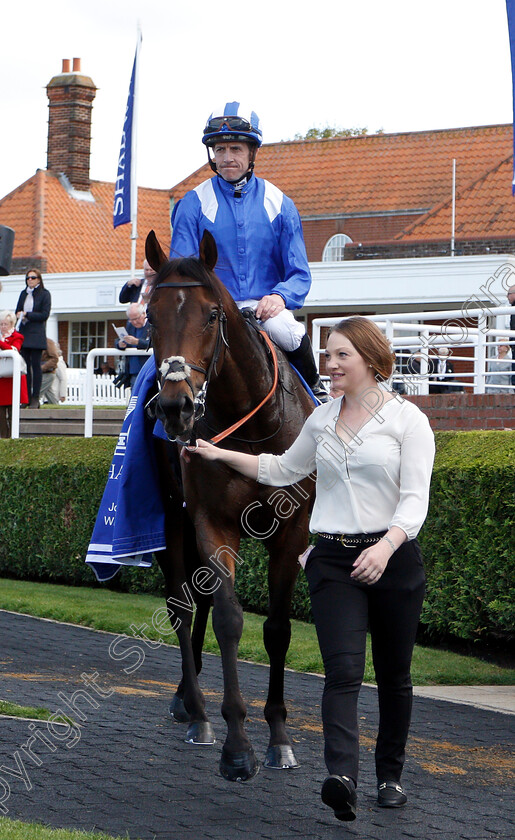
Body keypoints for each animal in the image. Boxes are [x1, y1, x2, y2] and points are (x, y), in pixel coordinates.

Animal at [144, 228, 314, 780]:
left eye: (212, 314)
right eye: (150, 314)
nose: (175, 407)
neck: (255, 430)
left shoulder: (292, 533)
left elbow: (277, 629)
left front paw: (279, 736)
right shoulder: (212, 523)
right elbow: (228, 619)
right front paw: (237, 744)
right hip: (171, 521)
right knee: (181, 606)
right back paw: (196, 710)